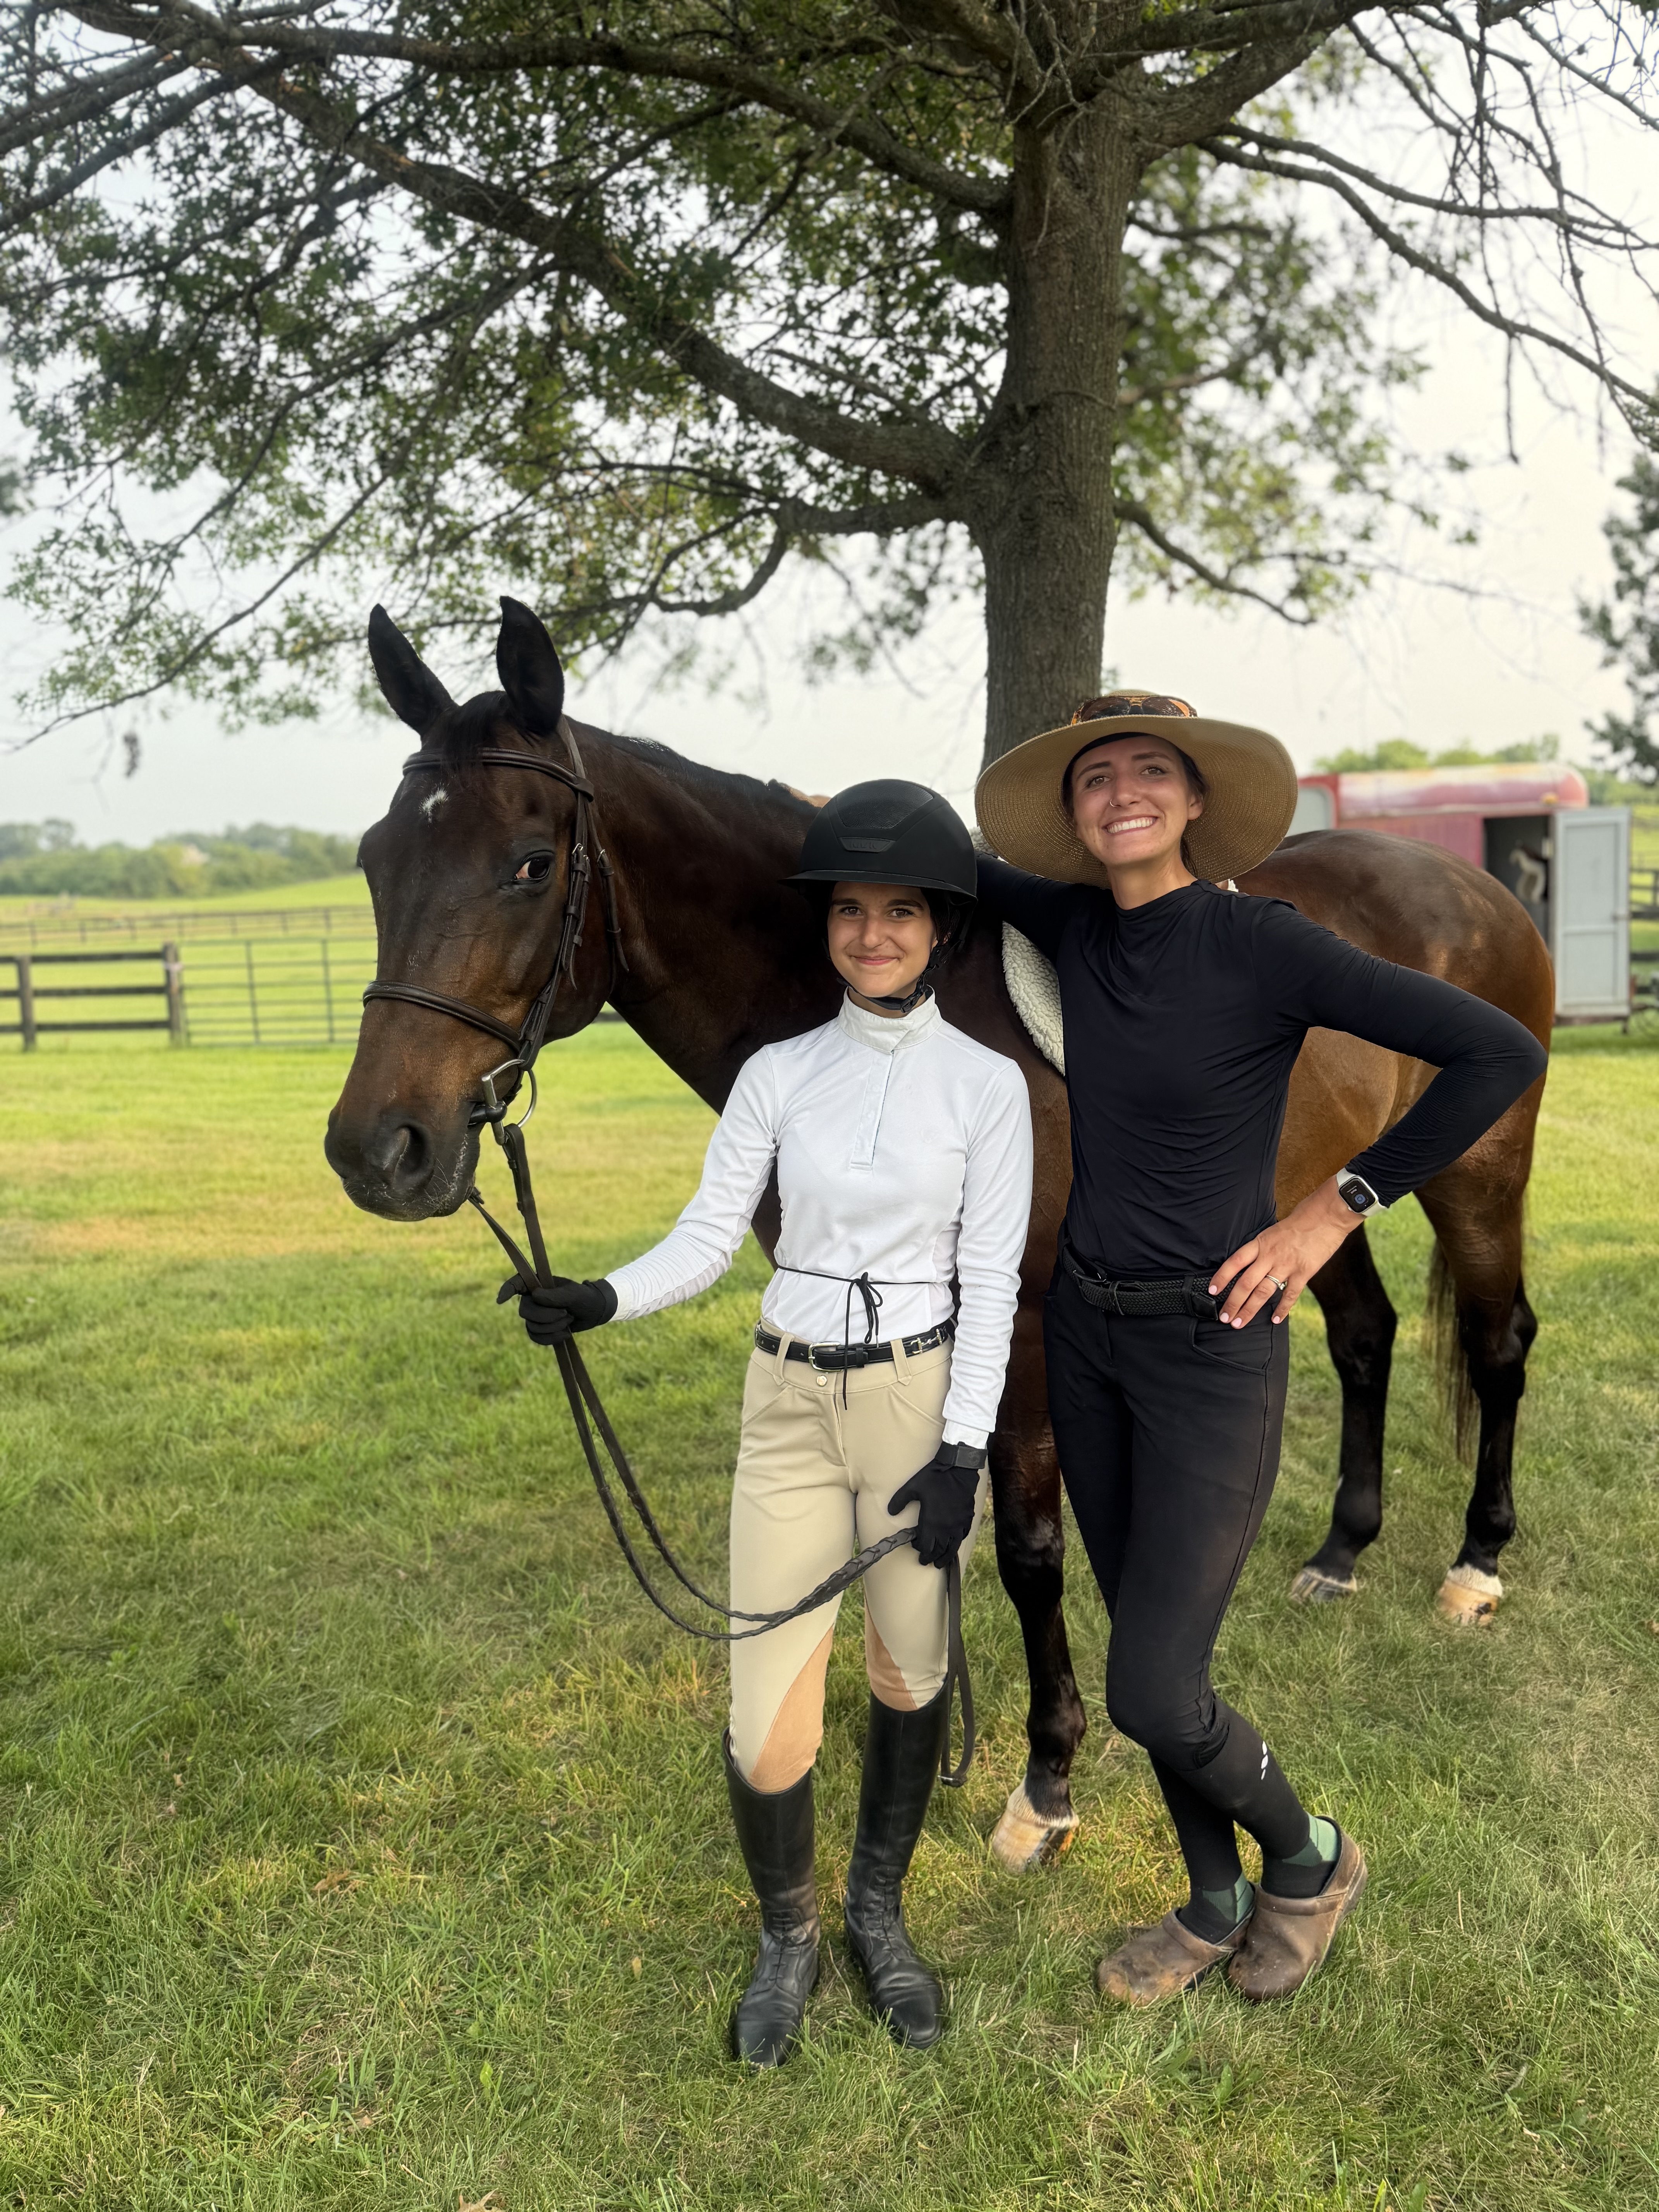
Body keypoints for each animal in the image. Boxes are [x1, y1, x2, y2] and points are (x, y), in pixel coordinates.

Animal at [325, 598, 1554, 1870]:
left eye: (529, 864)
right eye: (375, 860)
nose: (378, 1149)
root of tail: (1474, 886)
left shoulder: (1022, 1334)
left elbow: (1026, 1549)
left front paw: (1046, 1783)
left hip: (1479, 1172)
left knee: (1500, 1341)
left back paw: (1475, 1566)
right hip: (1310, 1205)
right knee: (1365, 1338)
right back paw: (1340, 1554)